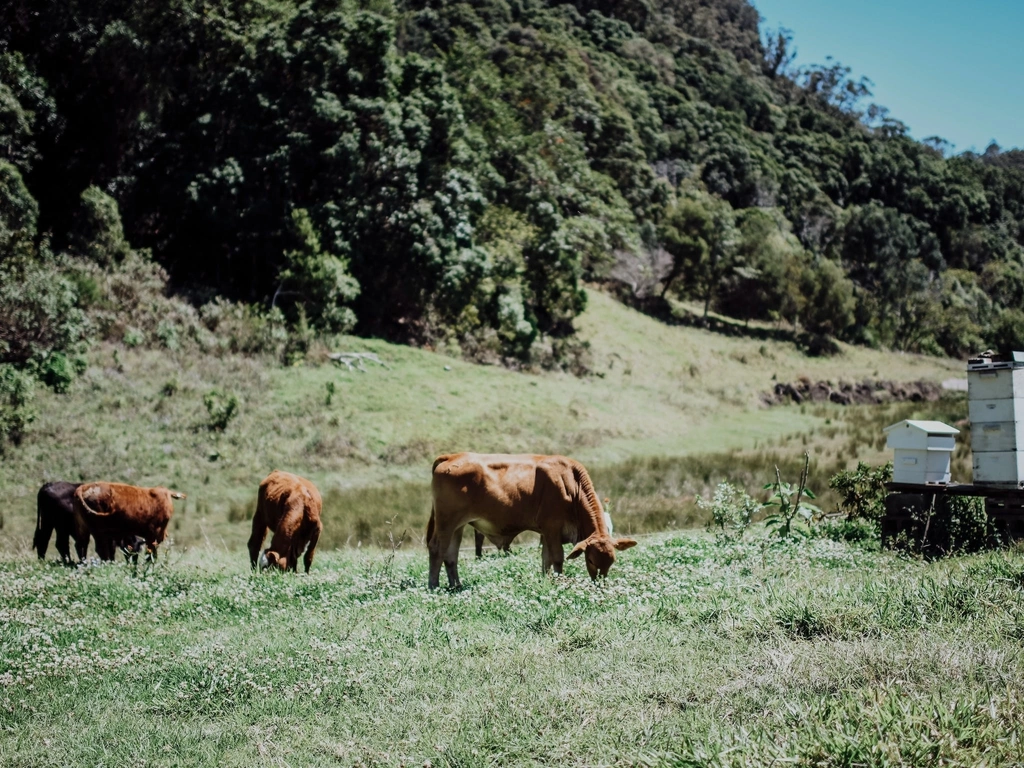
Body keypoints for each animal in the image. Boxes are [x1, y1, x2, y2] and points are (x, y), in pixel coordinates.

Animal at [423, 454, 630, 593]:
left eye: (612, 561)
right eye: (591, 560)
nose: (600, 585)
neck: (571, 485)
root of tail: (452, 456)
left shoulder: (546, 533)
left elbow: (546, 560)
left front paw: (547, 581)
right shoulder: (552, 528)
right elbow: (557, 558)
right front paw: (558, 581)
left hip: (457, 525)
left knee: (451, 554)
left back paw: (456, 585)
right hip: (447, 521)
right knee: (437, 549)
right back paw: (434, 586)